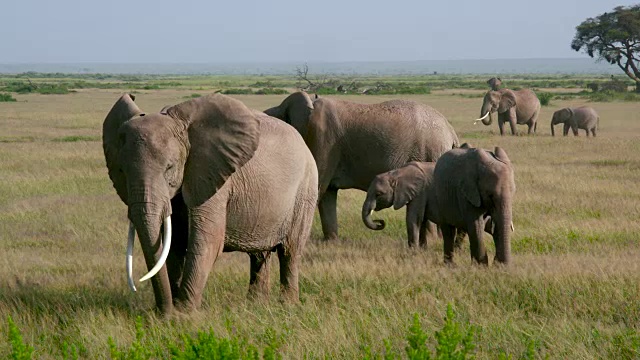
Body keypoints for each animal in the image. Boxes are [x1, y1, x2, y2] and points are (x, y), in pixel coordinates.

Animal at [102, 93, 318, 316]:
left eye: (169, 168)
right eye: (121, 171)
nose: (163, 311)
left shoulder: (214, 177)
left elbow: (207, 240)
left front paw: (184, 314)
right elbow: (174, 244)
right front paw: (173, 310)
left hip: (306, 190)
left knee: (290, 251)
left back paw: (287, 306)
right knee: (259, 255)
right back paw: (256, 305)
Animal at [262, 91, 458, 240]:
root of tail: (451, 132)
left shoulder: (323, 140)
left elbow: (318, 190)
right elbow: (327, 194)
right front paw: (331, 242)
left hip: (431, 151)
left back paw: (432, 240)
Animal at [362, 162, 502, 249]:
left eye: (378, 194)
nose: (380, 221)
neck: (396, 173)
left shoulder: (420, 192)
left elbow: (413, 219)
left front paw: (412, 252)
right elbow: (422, 220)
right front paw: (423, 249)